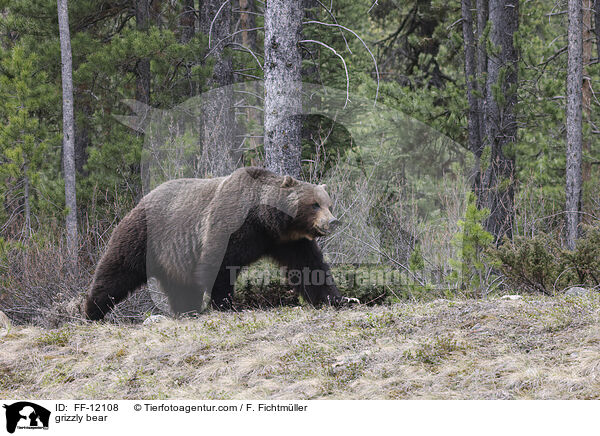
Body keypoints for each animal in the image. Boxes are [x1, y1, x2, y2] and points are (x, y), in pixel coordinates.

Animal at [84, 165, 356, 318]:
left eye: (329, 204)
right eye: (314, 204)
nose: (333, 221)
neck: (265, 221)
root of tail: (141, 199)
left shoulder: (288, 241)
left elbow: (310, 268)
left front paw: (340, 299)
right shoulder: (231, 224)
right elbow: (219, 264)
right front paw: (226, 303)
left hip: (173, 257)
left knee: (179, 285)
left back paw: (187, 309)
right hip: (145, 235)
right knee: (117, 269)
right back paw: (92, 310)